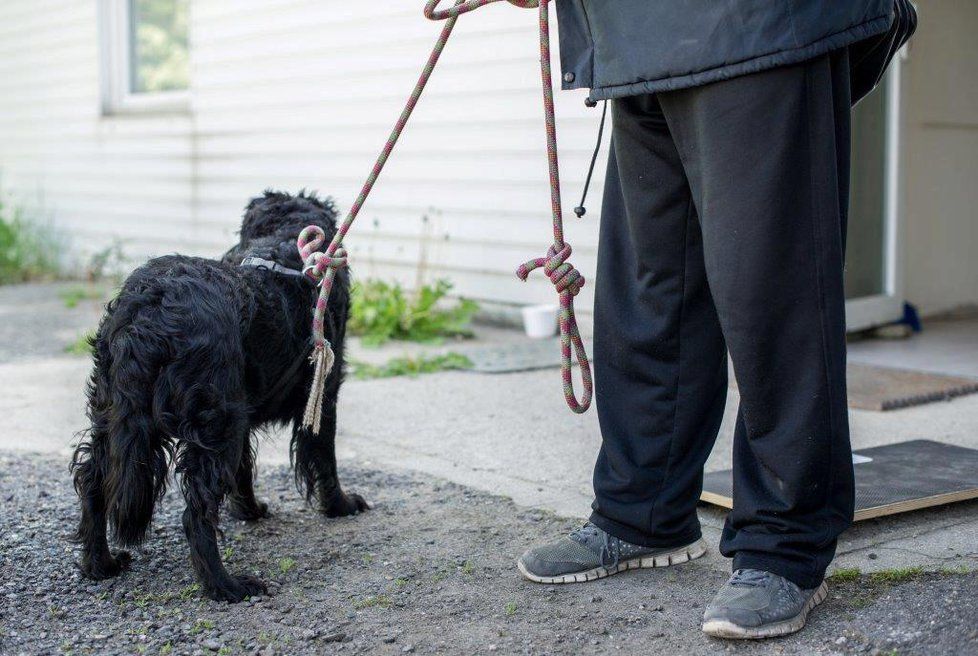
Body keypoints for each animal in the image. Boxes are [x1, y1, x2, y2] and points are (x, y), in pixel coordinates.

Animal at [68, 190, 366, 600]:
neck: (284, 242)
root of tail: (148, 305)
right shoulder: (322, 394)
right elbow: (325, 459)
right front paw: (341, 505)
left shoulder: (243, 412)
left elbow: (244, 470)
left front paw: (250, 510)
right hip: (216, 419)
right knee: (195, 513)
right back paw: (227, 585)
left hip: (112, 411)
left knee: (93, 481)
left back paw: (101, 563)